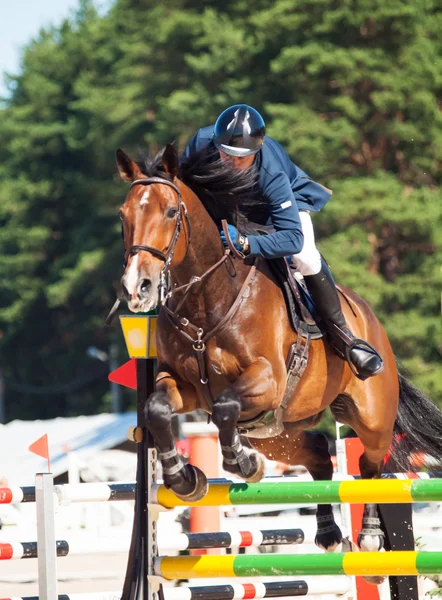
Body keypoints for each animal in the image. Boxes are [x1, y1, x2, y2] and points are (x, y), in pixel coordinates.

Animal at [116, 143, 442, 576]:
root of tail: (370, 321)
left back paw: (371, 537)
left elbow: (225, 406)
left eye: (171, 212)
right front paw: (184, 478)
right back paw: (327, 533)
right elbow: (156, 410)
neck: (206, 300)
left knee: (372, 463)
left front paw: (242, 462)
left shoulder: (266, 381)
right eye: (123, 214)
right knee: (319, 451)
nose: (138, 288)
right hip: (278, 433)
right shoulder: (183, 386)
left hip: (371, 417)